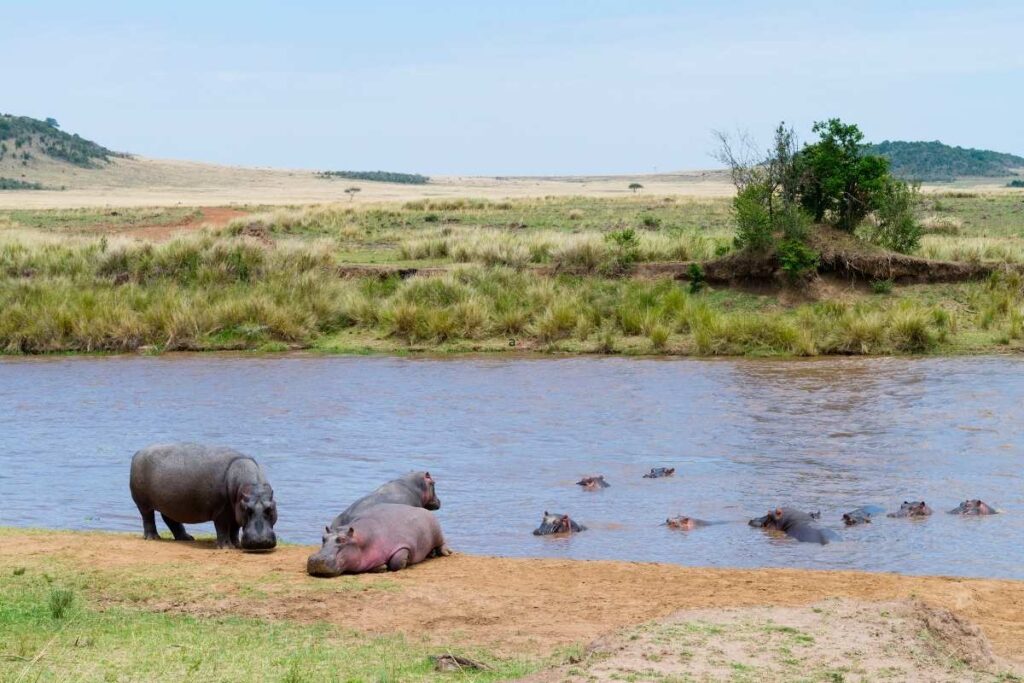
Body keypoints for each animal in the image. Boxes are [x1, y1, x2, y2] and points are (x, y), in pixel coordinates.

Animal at [129, 443, 277, 551]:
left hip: (171, 503)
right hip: (143, 503)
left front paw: (236, 545)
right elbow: (223, 528)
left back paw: (187, 538)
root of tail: (138, 452)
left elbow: (235, 529)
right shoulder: (222, 511)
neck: (252, 487)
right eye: (248, 509)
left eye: (270, 508)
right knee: (148, 518)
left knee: (170, 519)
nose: (260, 542)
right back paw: (153, 538)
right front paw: (226, 547)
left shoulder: (236, 510)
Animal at [307, 504, 449, 577]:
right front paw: (381, 567)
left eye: (342, 539)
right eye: (323, 538)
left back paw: (445, 552)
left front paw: (404, 562)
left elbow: (397, 562)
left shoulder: (403, 544)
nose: (316, 560)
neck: (361, 540)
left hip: (437, 532)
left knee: (442, 543)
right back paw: (431, 554)